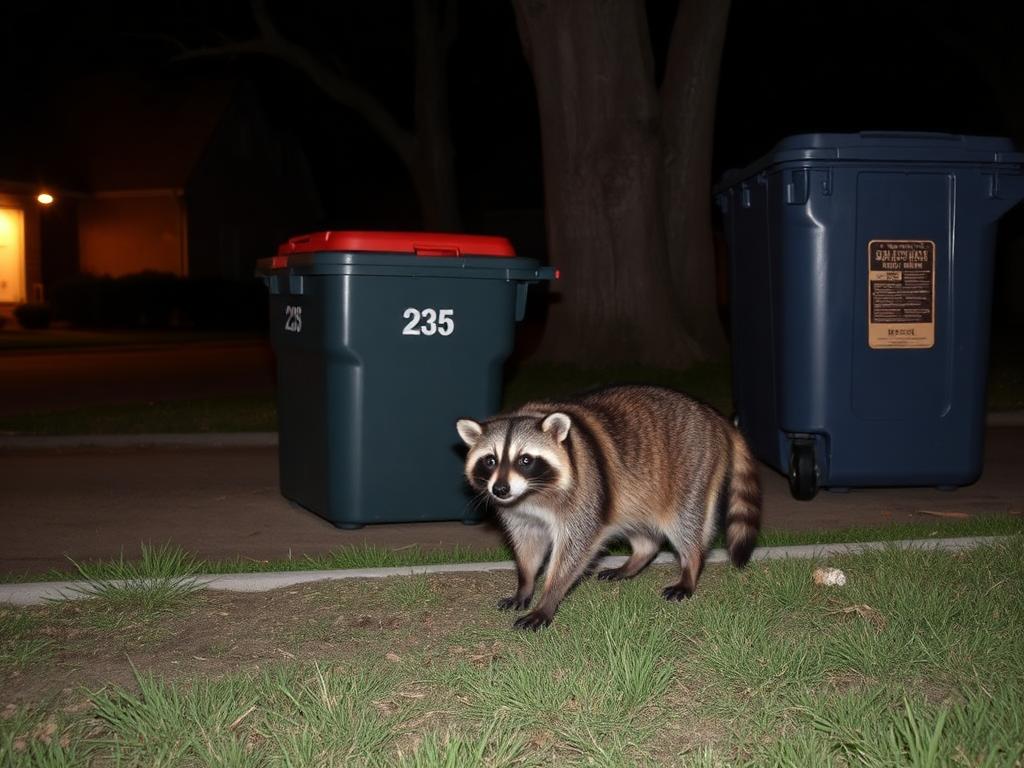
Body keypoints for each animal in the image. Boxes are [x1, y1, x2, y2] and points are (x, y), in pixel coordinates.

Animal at [456, 385, 761, 630]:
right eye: (490, 460)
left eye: (525, 460)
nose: (500, 489)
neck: (531, 495)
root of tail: (713, 414)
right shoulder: (519, 513)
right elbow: (528, 545)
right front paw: (525, 584)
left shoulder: (585, 490)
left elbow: (574, 548)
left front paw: (548, 598)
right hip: (636, 491)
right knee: (641, 528)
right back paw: (638, 558)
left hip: (693, 469)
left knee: (685, 523)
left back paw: (690, 567)